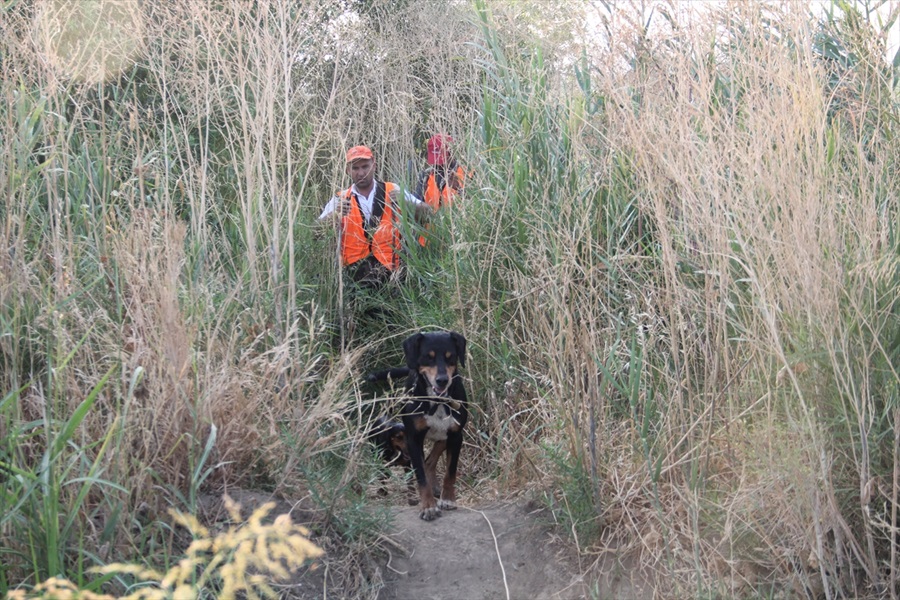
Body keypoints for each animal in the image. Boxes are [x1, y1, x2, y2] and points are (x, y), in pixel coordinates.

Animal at [370, 330, 472, 516]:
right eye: (428, 357)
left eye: (451, 356)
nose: (442, 380)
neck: (436, 401)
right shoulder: (413, 439)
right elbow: (421, 476)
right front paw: (428, 506)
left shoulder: (455, 435)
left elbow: (450, 472)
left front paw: (448, 499)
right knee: (426, 464)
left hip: (444, 437)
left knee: (430, 462)